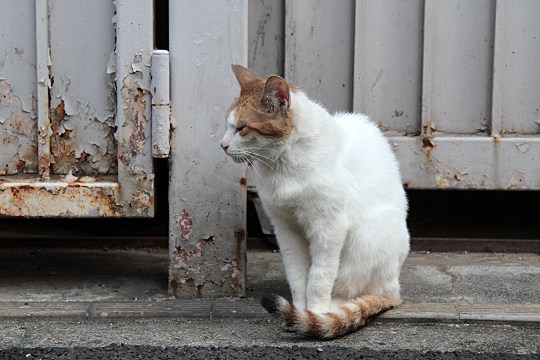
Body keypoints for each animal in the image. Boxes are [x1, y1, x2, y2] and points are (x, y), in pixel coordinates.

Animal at [219, 65, 410, 340]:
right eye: (227, 125)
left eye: (242, 127)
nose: (222, 145)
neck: (283, 166)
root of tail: (395, 290)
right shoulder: (285, 229)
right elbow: (297, 275)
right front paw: (299, 311)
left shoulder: (329, 228)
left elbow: (319, 277)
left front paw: (316, 313)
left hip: (371, 238)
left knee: (358, 292)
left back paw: (334, 307)